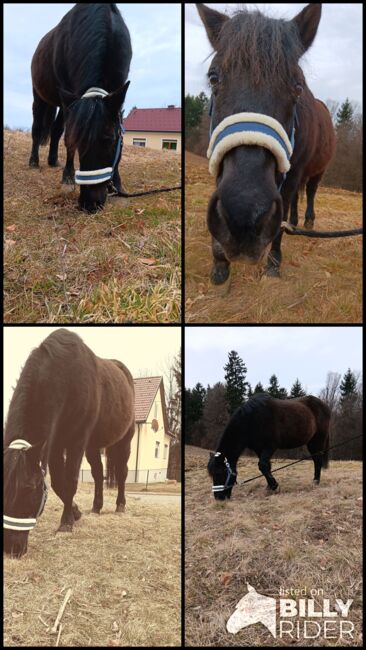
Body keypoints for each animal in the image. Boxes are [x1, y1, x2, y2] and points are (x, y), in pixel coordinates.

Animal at [3, 330, 135, 556]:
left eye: (29, 489)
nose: (11, 549)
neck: (66, 378)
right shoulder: (54, 444)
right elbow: (58, 483)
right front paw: (76, 512)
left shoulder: (76, 441)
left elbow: (71, 480)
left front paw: (66, 524)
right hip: (93, 446)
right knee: (98, 474)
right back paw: (96, 507)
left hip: (124, 441)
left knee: (122, 472)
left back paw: (120, 505)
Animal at [29, 4, 132, 213]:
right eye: (79, 142)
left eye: (110, 140)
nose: (90, 203)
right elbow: (67, 136)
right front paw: (68, 177)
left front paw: (118, 184)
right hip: (40, 96)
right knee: (37, 128)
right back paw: (34, 162)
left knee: (56, 129)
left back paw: (53, 161)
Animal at [196, 2, 336, 282]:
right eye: (213, 78)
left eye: (297, 87)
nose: (243, 217)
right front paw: (220, 261)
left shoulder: (293, 173)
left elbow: (282, 214)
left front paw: (274, 262)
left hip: (317, 171)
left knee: (310, 192)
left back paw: (307, 221)